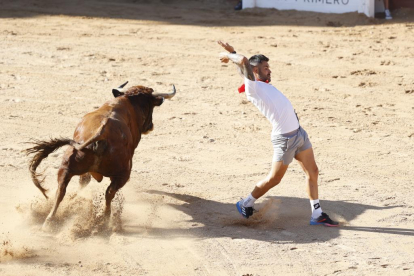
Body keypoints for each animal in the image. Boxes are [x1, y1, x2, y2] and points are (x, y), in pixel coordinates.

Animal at [25, 82, 175, 229]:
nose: (150, 126)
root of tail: (101, 133)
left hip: (66, 167)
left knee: (61, 190)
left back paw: (50, 221)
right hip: (123, 174)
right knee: (109, 193)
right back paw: (106, 219)